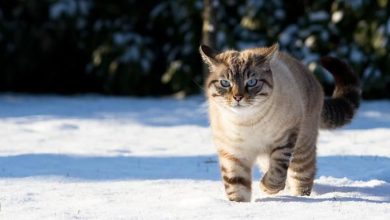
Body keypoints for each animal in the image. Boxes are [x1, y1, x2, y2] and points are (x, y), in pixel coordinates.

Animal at [200, 43, 362, 202]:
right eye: (225, 83)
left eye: (251, 82)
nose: (238, 97)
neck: (246, 123)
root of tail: (308, 72)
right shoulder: (233, 154)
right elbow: (236, 187)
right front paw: (239, 206)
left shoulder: (285, 140)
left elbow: (277, 173)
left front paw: (266, 187)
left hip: (301, 150)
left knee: (303, 175)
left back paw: (300, 198)